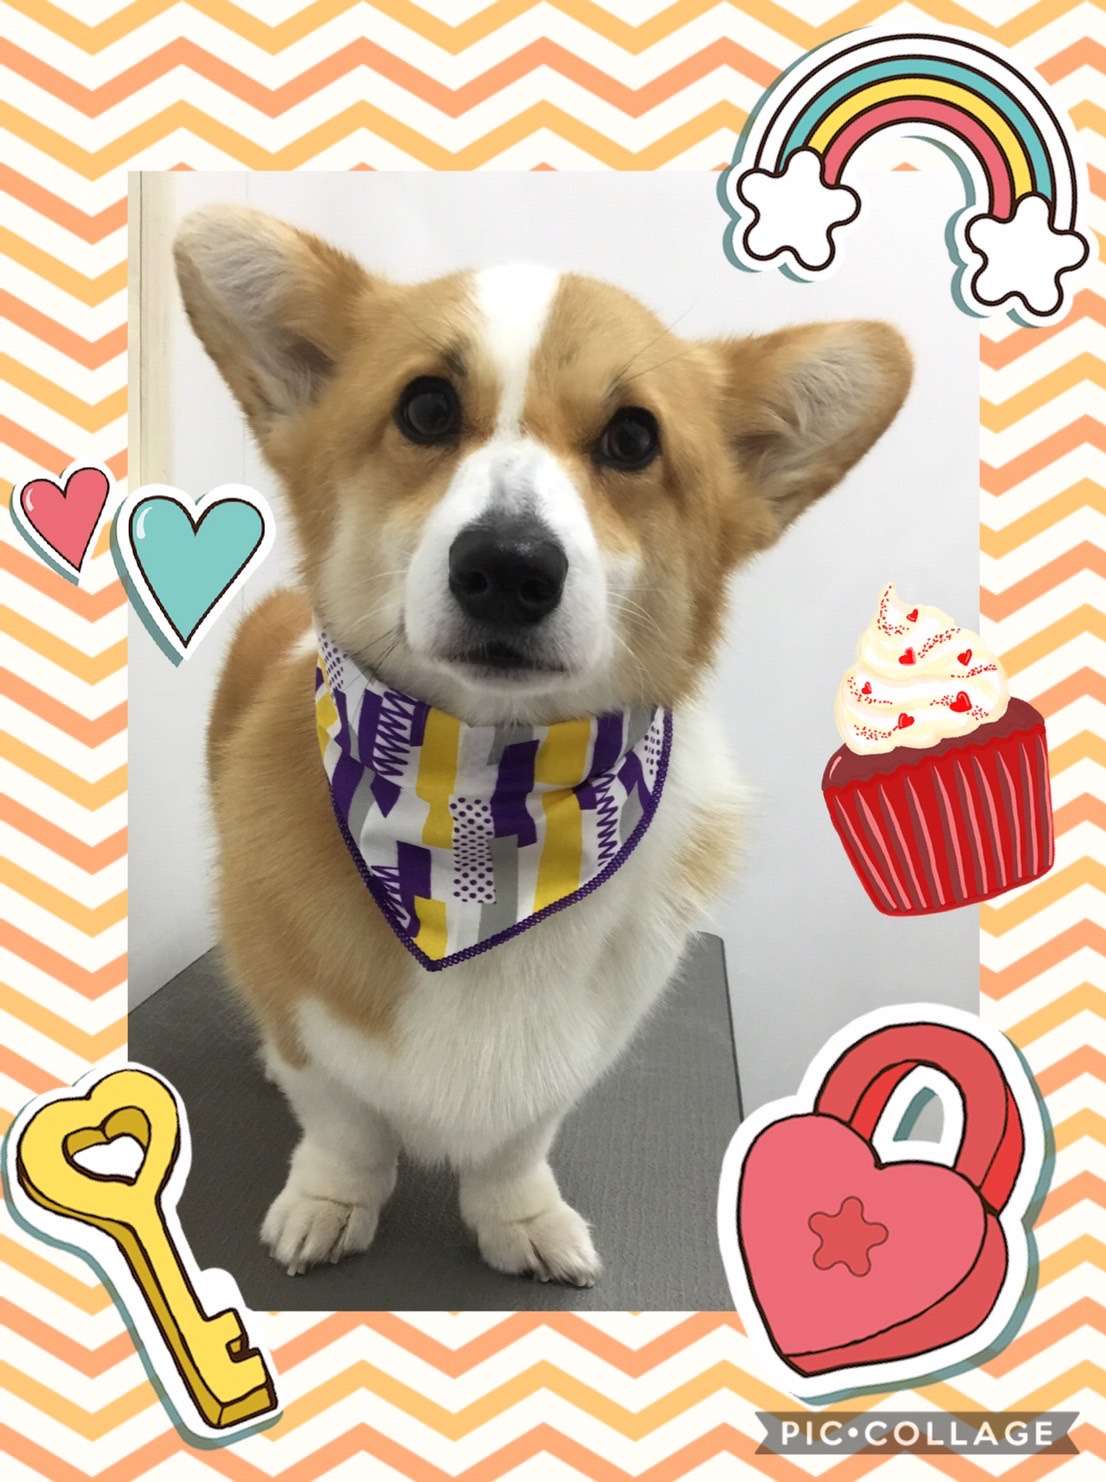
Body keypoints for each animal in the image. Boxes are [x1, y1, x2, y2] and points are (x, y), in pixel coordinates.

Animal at [173, 205, 911, 1285]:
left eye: (633, 438)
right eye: (427, 409)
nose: (509, 567)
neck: (485, 800)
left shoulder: (574, 1050)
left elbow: (518, 1142)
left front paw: (519, 1220)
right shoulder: (309, 1019)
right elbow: (344, 1123)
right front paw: (330, 1201)